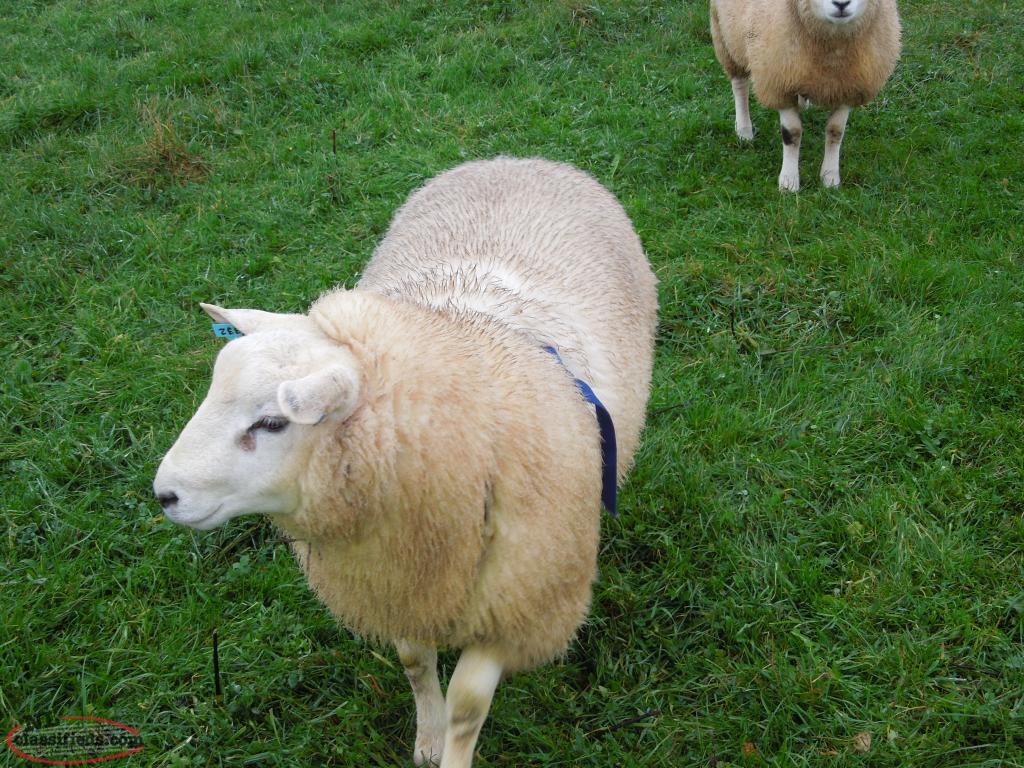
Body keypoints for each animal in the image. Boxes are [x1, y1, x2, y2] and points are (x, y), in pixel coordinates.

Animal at [153, 157, 658, 768]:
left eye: (272, 423)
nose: (166, 494)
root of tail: (520, 160)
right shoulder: (396, 580)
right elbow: (416, 663)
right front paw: (427, 738)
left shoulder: (516, 598)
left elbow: (467, 702)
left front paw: (451, 748)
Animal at [709, 0, 901, 190]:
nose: (841, 4)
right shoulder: (779, 81)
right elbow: (792, 133)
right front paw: (789, 181)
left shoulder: (847, 87)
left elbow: (836, 132)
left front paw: (830, 177)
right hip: (725, 34)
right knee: (739, 86)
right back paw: (744, 130)